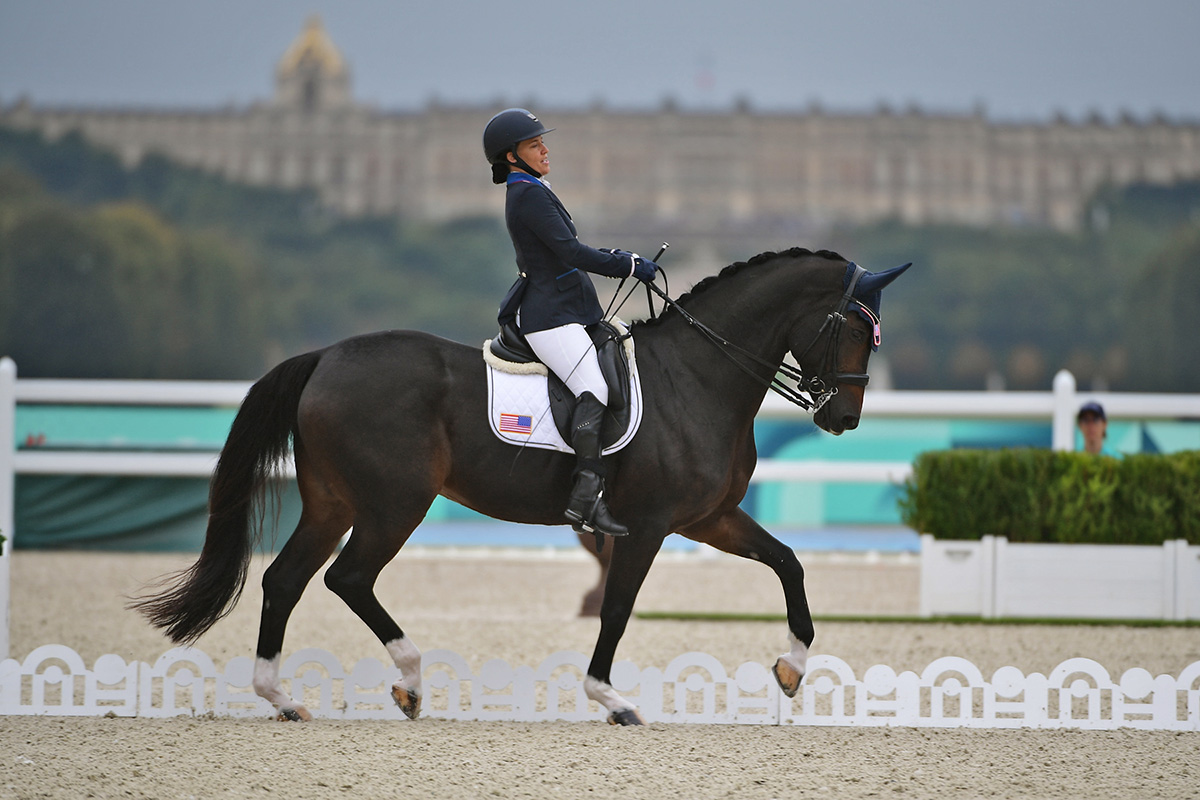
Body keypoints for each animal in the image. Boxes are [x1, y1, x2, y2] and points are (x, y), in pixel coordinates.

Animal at [131, 245, 907, 724]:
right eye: (850, 328)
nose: (843, 417)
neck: (699, 377)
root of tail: (326, 356)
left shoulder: (709, 518)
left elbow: (789, 562)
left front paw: (792, 669)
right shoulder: (649, 525)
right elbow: (617, 608)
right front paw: (611, 699)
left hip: (332, 501)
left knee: (285, 580)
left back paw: (282, 696)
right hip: (394, 504)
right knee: (347, 579)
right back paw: (409, 680)